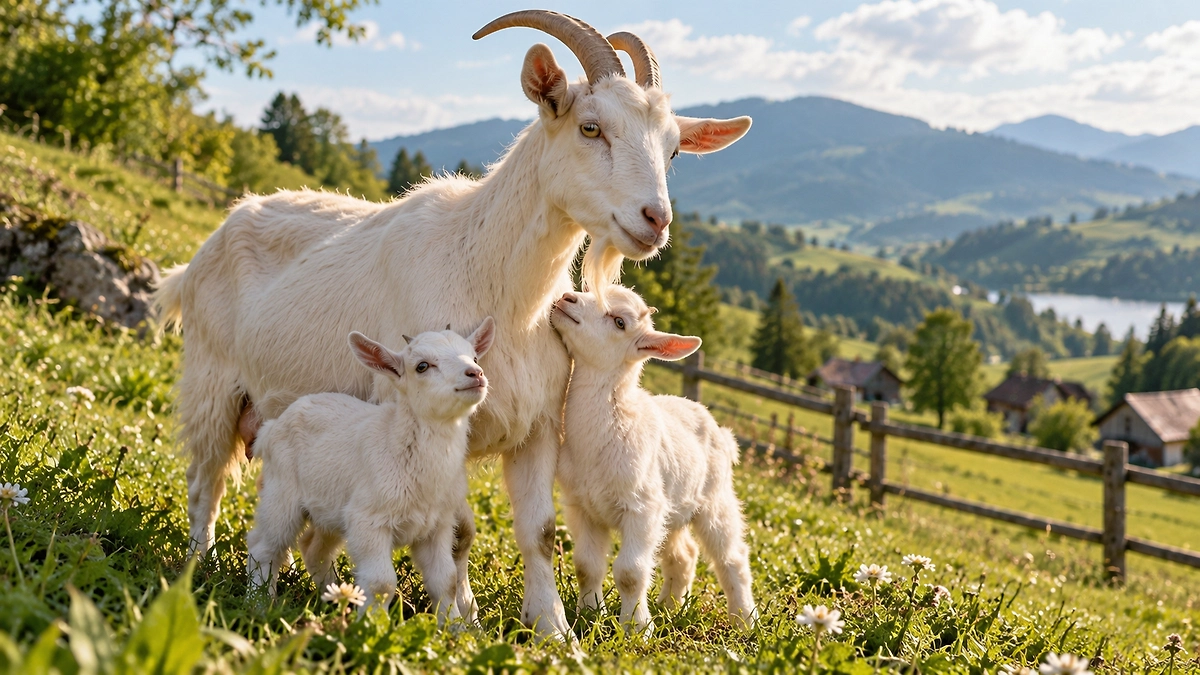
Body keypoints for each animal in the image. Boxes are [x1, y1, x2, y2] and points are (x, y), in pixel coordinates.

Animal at [246, 319, 494, 623]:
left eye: (474, 357)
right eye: (422, 366)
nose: (475, 373)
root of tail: (270, 428)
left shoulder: (438, 525)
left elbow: (445, 580)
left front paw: (454, 627)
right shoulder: (369, 520)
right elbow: (381, 583)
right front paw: (372, 626)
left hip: (332, 508)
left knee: (314, 549)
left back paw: (336, 596)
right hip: (282, 495)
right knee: (264, 547)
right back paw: (259, 605)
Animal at [551, 287, 755, 632]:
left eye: (620, 322)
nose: (567, 297)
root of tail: (723, 434)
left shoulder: (642, 509)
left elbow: (630, 573)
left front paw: (635, 627)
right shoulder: (583, 506)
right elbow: (586, 566)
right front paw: (588, 613)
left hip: (715, 500)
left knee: (732, 556)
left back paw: (744, 619)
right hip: (672, 509)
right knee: (684, 555)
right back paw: (669, 607)